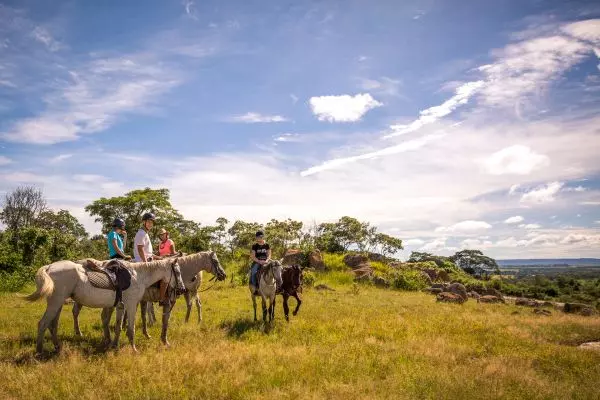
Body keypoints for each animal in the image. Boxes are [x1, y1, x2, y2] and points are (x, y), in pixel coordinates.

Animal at [25, 258, 184, 352]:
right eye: (177, 271)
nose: (182, 289)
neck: (138, 275)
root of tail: (49, 267)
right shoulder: (132, 305)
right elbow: (131, 328)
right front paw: (134, 349)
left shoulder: (121, 306)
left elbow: (119, 327)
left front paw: (114, 345)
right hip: (55, 303)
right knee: (43, 323)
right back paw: (39, 351)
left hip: (57, 304)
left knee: (53, 325)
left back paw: (57, 346)